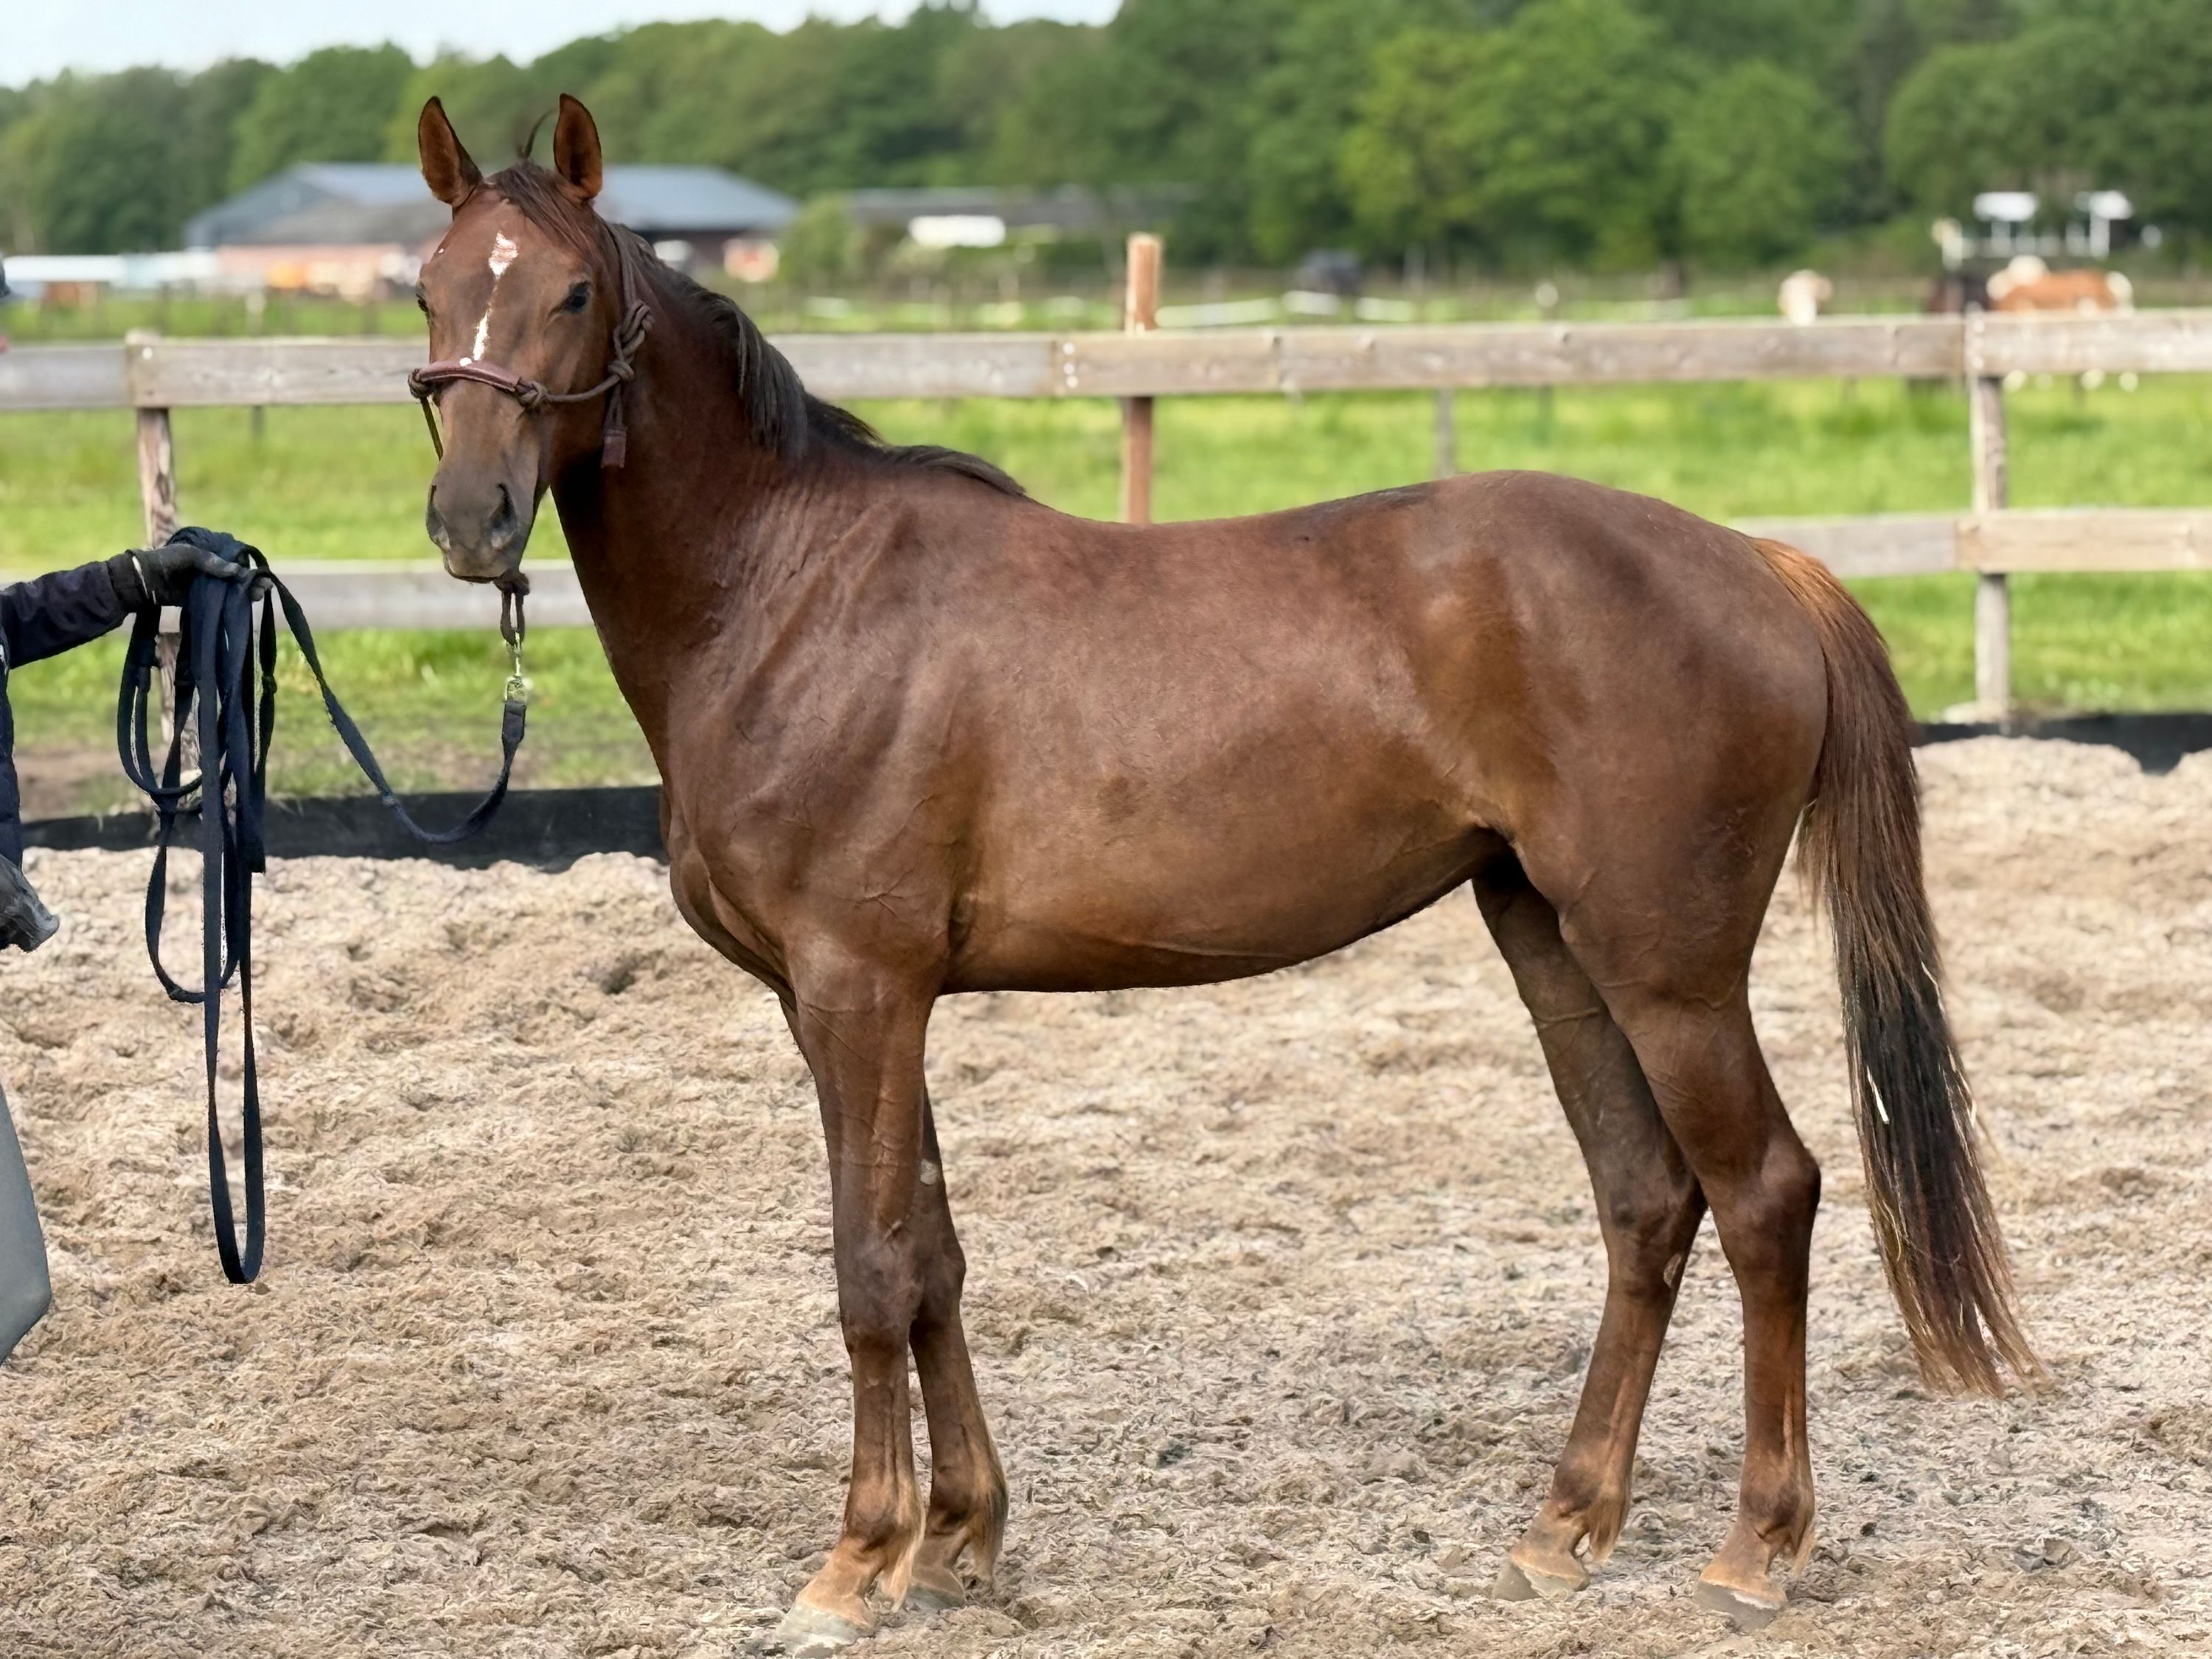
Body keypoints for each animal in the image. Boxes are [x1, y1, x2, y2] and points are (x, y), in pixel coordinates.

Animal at [408, 94, 2035, 1649]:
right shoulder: (872, 1004)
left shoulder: (856, 991)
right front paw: (960, 1540)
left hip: (1670, 968)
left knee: (1765, 1193)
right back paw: (1565, 1525)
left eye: (569, 292)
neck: (791, 595)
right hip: (1554, 946)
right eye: (430, 290)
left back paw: (1756, 1551)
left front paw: (858, 1562)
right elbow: (932, 1254)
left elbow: (870, 1267)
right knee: (1647, 1200)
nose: (471, 522)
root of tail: (1763, 566)